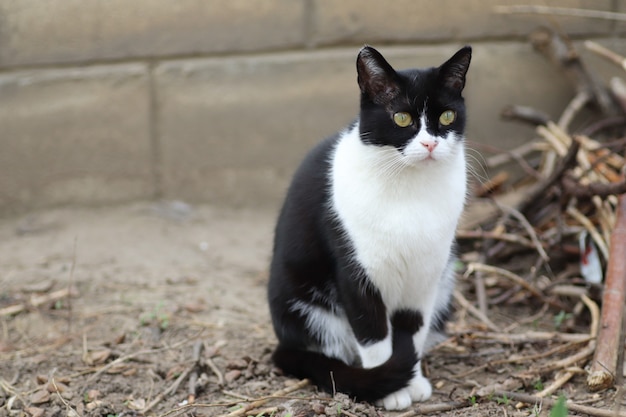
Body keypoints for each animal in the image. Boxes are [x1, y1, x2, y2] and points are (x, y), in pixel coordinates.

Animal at [266, 45, 468, 410]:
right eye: (401, 118)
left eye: (447, 117)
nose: (430, 144)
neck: (410, 188)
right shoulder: (355, 272)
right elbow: (374, 335)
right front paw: (392, 391)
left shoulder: (425, 273)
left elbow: (412, 332)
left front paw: (412, 381)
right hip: (301, 302)